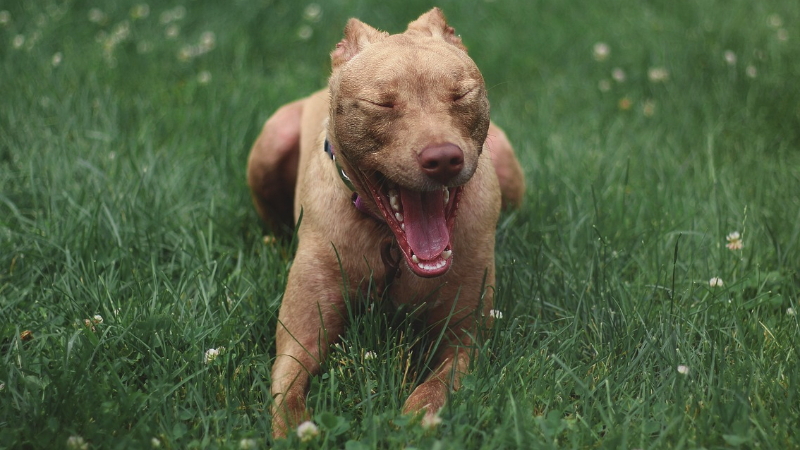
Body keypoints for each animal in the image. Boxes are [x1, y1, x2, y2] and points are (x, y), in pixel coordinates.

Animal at [247, 7, 528, 438]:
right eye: (382, 104)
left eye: (460, 95)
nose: (443, 159)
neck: (390, 244)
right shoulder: (300, 338)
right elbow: (288, 394)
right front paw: (298, 432)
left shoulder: (465, 337)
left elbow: (438, 385)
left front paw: (415, 418)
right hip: (271, 141)